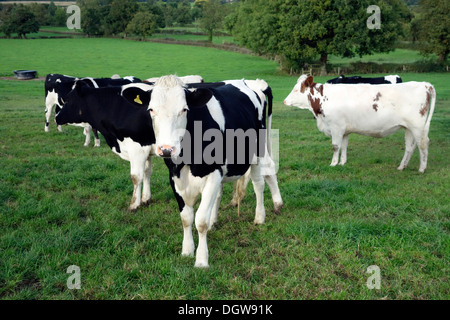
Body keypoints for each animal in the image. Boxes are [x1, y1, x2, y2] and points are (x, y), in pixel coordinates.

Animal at [55, 80, 155, 211]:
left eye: (68, 99)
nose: (56, 117)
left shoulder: (137, 149)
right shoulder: (147, 149)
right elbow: (147, 172)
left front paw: (134, 204)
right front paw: (146, 199)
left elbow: (136, 177)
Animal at [284, 74, 436, 172]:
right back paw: (401, 167)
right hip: (408, 128)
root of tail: (424, 84)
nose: (285, 101)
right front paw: (342, 163)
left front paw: (333, 164)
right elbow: (344, 146)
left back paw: (422, 169)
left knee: (423, 144)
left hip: (418, 127)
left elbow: (335, 146)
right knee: (410, 146)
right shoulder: (344, 130)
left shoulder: (336, 127)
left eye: (296, 90)